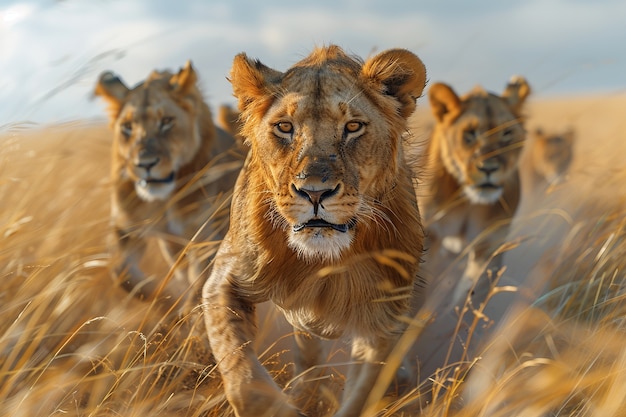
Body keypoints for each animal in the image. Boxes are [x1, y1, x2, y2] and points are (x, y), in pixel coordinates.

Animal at [95, 61, 244, 308]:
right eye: (127, 127)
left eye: (166, 122)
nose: (145, 163)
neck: (162, 200)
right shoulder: (126, 228)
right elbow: (122, 273)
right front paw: (166, 302)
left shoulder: (206, 236)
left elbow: (200, 284)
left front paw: (187, 310)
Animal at [202, 45, 426, 416]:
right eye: (284, 127)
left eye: (353, 126)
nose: (315, 192)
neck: (321, 261)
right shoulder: (225, 280)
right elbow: (245, 381)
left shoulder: (382, 318)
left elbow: (363, 394)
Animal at [416, 76, 528, 306]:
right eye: (470, 134)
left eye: (506, 133)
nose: (488, 168)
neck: (469, 201)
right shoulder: (429, 234)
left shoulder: (489, 244)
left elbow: (470, 297)